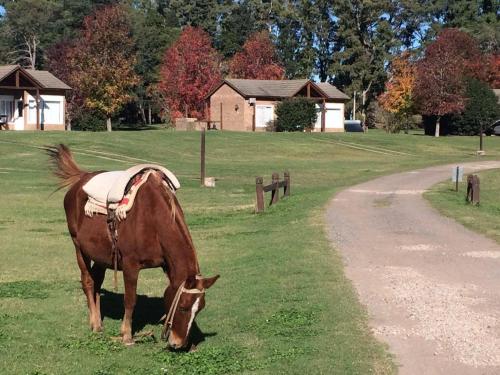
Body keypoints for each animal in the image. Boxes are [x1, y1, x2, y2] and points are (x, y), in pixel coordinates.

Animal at [47, 145, 219, 350]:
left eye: (199, 309)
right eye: (184, 307)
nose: (179, 343)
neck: (153, 218)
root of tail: (81, 178)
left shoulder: (165, 265)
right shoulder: (130, 265)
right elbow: (130, 299)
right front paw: (127, 335)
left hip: (101, 255)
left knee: (97, 281)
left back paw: (99, 321)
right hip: (79, 248)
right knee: (88, 281)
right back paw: (95, 324)